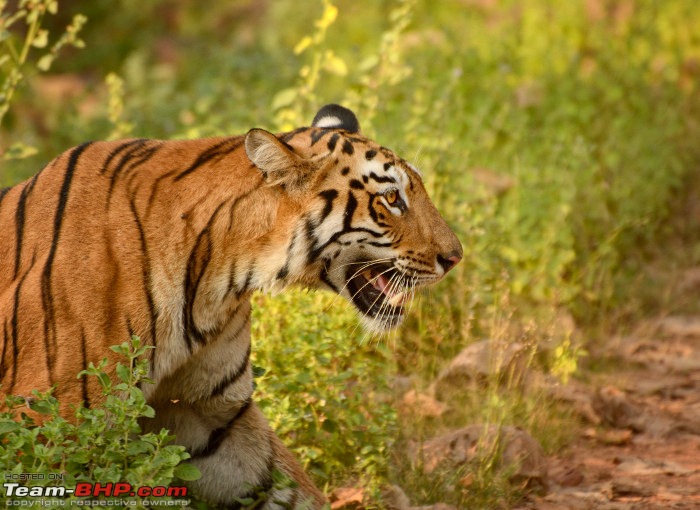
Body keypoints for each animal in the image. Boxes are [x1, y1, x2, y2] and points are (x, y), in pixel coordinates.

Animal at [0, 103, 460, 506]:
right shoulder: (52, 425)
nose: (456, 257)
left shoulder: (210, 414)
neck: (216, 283)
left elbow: (286, 485)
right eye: (392, 200)